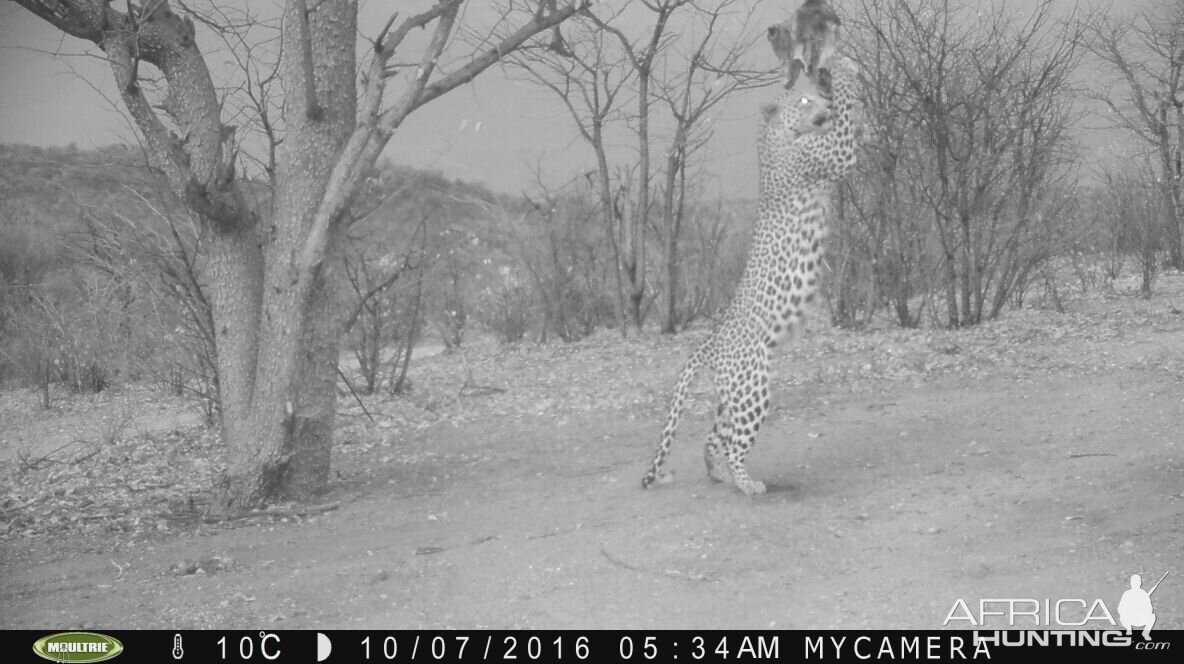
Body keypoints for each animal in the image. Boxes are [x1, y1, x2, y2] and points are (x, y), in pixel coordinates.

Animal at [644, 55, 857, 492]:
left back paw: (719, 476)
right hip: (752, 387)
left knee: (715, 437)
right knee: (732, 442)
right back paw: (747, 484)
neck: (770, 137)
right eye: (804, 99)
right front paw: (844, 69)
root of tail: (711, 342)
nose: (820, 103)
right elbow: (848, 117)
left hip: (734, 394)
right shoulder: (836, 152)